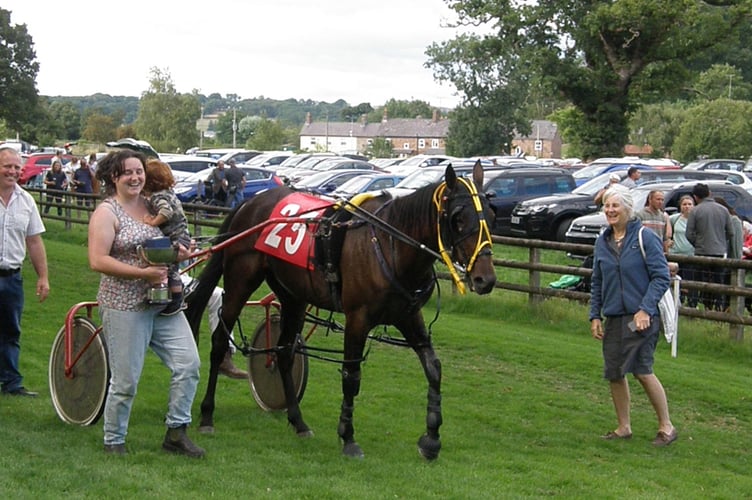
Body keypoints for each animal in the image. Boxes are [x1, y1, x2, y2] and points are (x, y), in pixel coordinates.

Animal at [185, 162, 496, 458]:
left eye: (491, 217)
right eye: (458, 218)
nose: (486, 279)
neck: (390, 245)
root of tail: (249, 203)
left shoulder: (408, 316)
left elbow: (433, 369)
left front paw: (431, 439)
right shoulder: (357, 319)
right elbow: (351, 376)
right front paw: (348, 437)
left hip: (293, 296)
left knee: (284, 353)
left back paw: (298, 421)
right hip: (241, 280)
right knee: (219, 341)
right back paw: (207, 415)